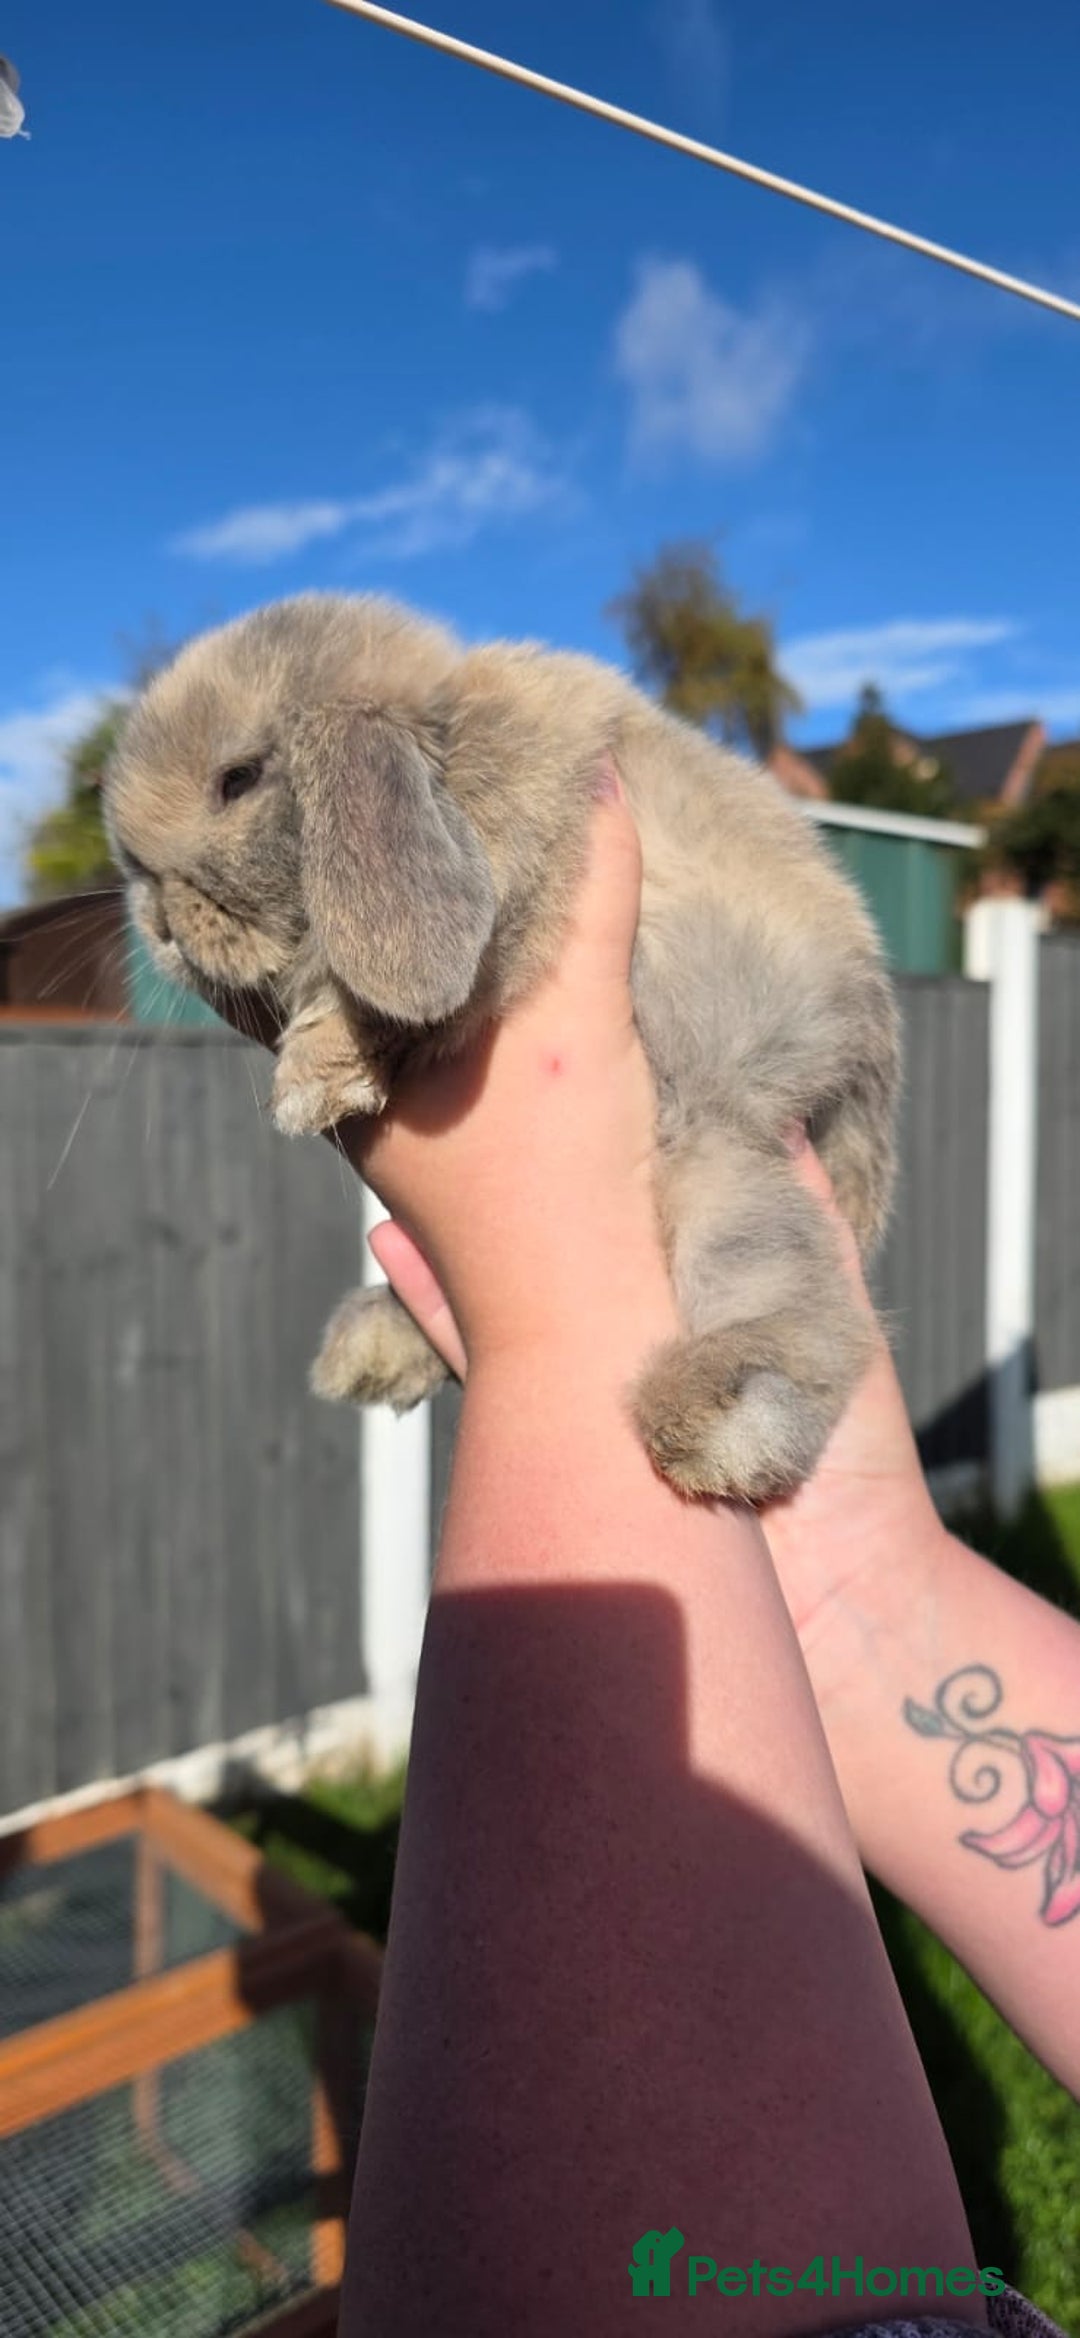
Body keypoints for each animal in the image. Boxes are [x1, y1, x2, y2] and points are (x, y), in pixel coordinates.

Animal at [104, 590, 900, 1504]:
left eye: (238, 779)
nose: (156, 924)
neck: (450, 741)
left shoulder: (517, 870)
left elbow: (372, 1000)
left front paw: (311, 1084)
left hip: (720, 1148)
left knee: (805, 1298)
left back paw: (718, 1424)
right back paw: (376, 1347)